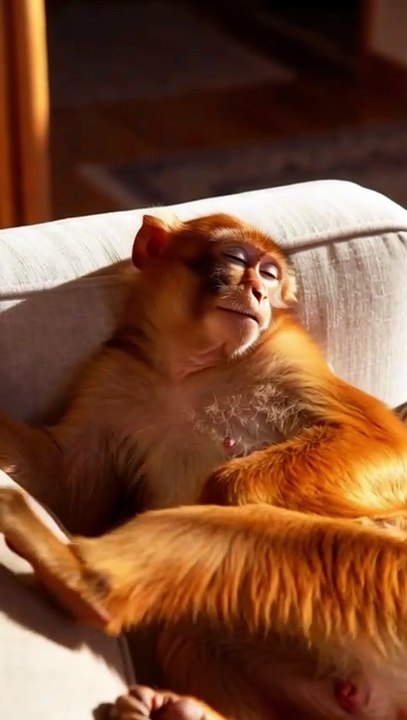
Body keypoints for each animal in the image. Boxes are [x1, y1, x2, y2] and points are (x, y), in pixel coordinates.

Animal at [1, 212, 407, 718]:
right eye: (236, 258)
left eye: (269, 275)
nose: (257, 292)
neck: (192, 371)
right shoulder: (111, 377)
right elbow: (68, 488)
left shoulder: (286, 354)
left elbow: (384, 440)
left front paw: (227, 489)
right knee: (192, 632)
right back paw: (183, 706)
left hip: (384, 574)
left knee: (257, 537)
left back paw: (82, 580)